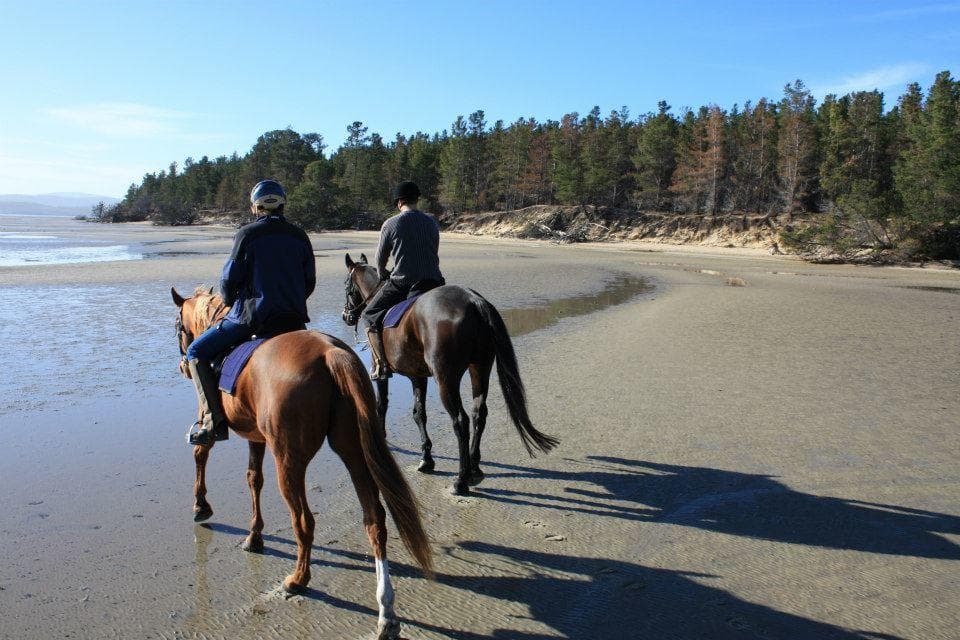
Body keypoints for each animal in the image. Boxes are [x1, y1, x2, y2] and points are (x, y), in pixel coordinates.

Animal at [171, 286, 432, 640]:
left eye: (177, 327)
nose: (184, 364)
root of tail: (330, 354)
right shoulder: (256, 437)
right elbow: (253, 478)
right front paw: (254, 536)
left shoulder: (209, 419)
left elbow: (202, 455)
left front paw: (201, 506)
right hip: (353, 452)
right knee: (374, 519)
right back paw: (386, 610)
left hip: (289, 462)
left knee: (304, 521)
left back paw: (298, 580)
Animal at [341, 254, 559, 496]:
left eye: (347, 287)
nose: (346, 316)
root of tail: (474, 301)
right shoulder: (418, 376)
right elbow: (419, 413)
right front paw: (426, 458)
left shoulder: (382, 373)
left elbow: (382, 405)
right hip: (480, 369)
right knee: (478, 414)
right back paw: (474, 468)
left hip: (446, 380)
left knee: (461, 421)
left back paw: (461, 480)